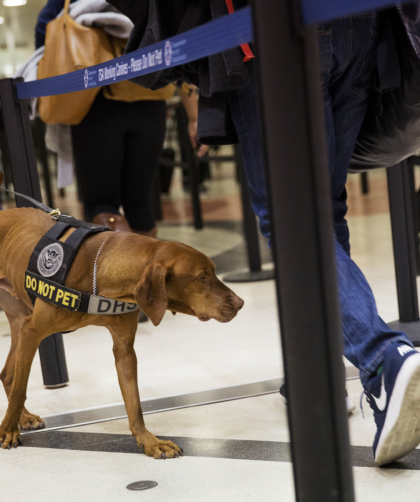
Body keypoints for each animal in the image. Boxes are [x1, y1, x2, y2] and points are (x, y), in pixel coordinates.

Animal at [0, 206, 243, 456]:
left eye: (213, 271)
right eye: (202, 277)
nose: (240, 303)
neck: (100, 276)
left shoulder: (124, 349)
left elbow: (134, 402)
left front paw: (149, 440)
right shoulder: (32, 332)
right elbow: (20, 389)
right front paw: (7, 431)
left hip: (18, 319)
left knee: (7, 373)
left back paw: (24, 417)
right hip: (23, 328)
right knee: (15, 379)